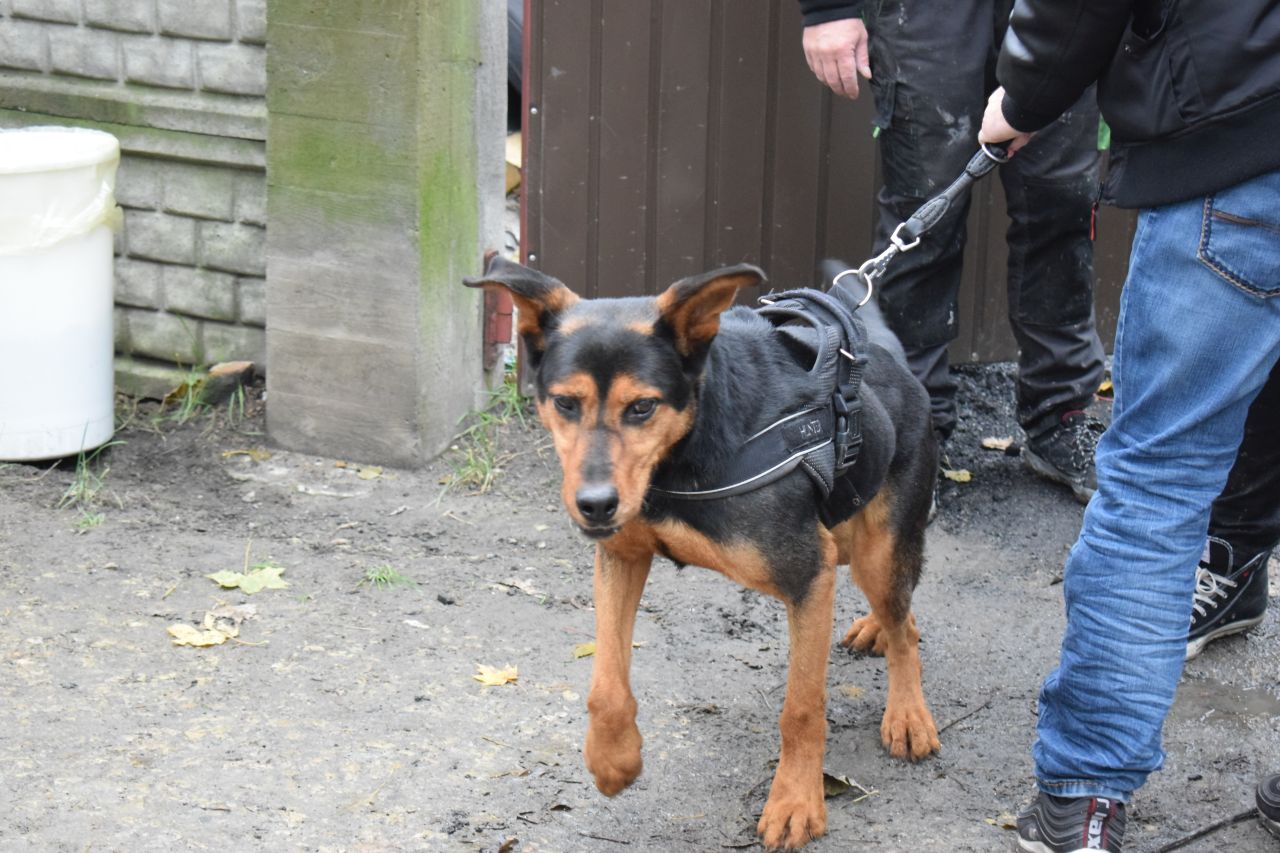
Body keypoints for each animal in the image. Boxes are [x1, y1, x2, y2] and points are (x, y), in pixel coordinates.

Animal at [465, 257, 940, 850]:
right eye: (565, 403)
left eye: (642, 407)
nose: (594, 505)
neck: (683, 455)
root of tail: (893, 361)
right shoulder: (622, 557)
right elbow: (607, 683)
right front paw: (613, 758)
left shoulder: (809, 574)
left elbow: (802, 708)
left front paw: (795, 802)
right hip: (851, 534)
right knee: (902, 612)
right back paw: (874, 632)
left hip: (878, 549)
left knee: (905, 627)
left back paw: (908, 715)